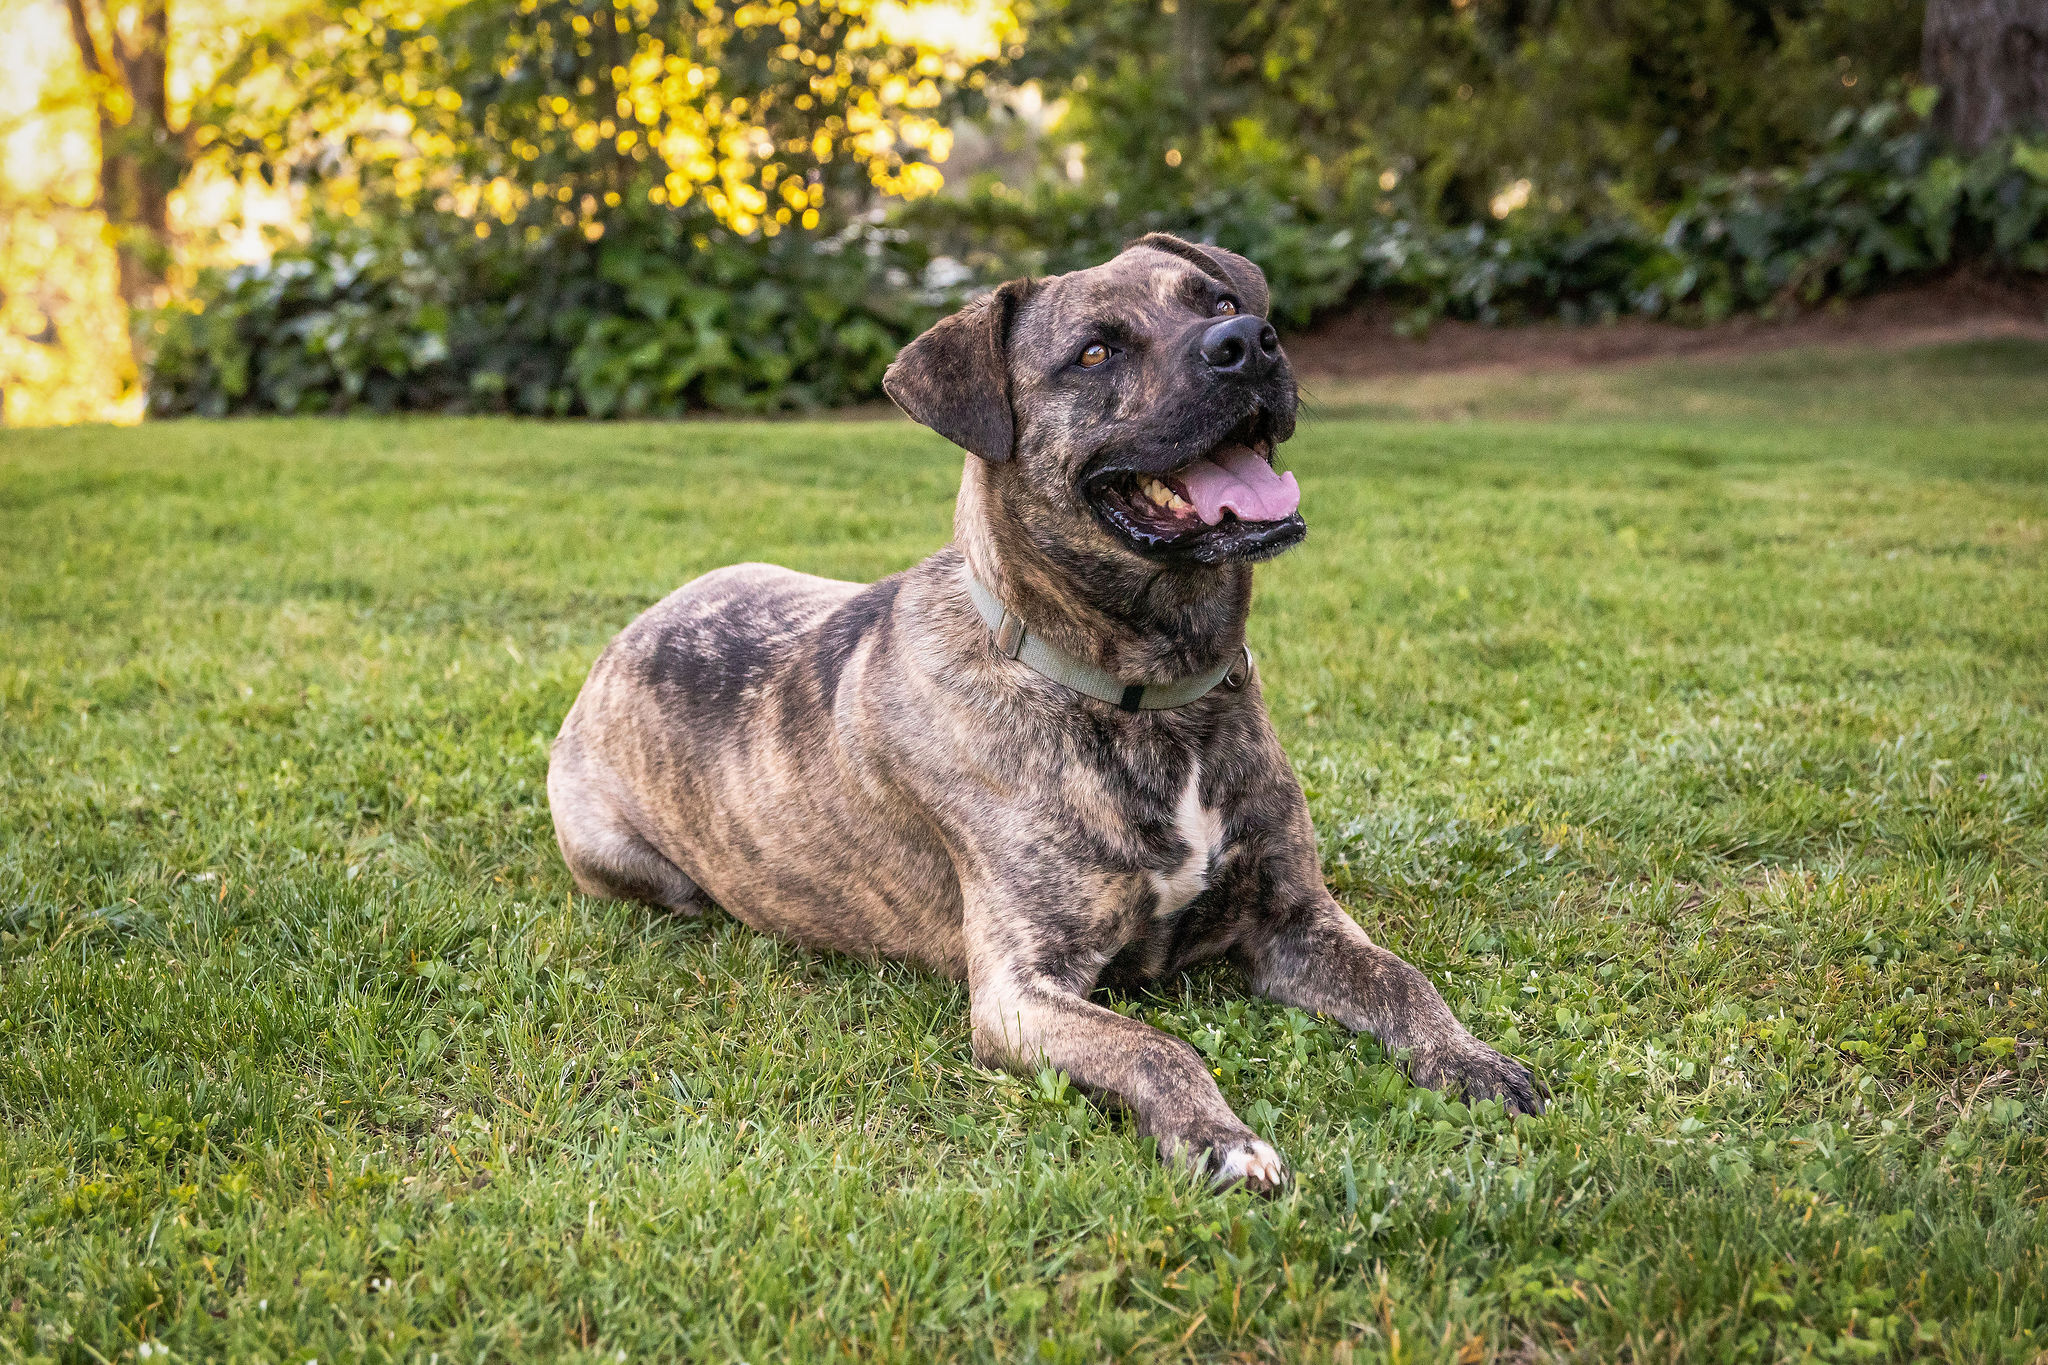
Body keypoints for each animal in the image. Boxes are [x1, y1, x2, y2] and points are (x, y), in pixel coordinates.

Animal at [552, 232, 1540, 1186]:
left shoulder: (1295, 915)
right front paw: (1219, 1138)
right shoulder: (1021, 991)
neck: (1147, 695)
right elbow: (1156, 1046)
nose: (1248, 342)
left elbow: (1403, 979)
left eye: (1218, 301)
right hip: (626, 858)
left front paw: (1472, 1058)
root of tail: (627, 633)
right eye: (1094, 351)